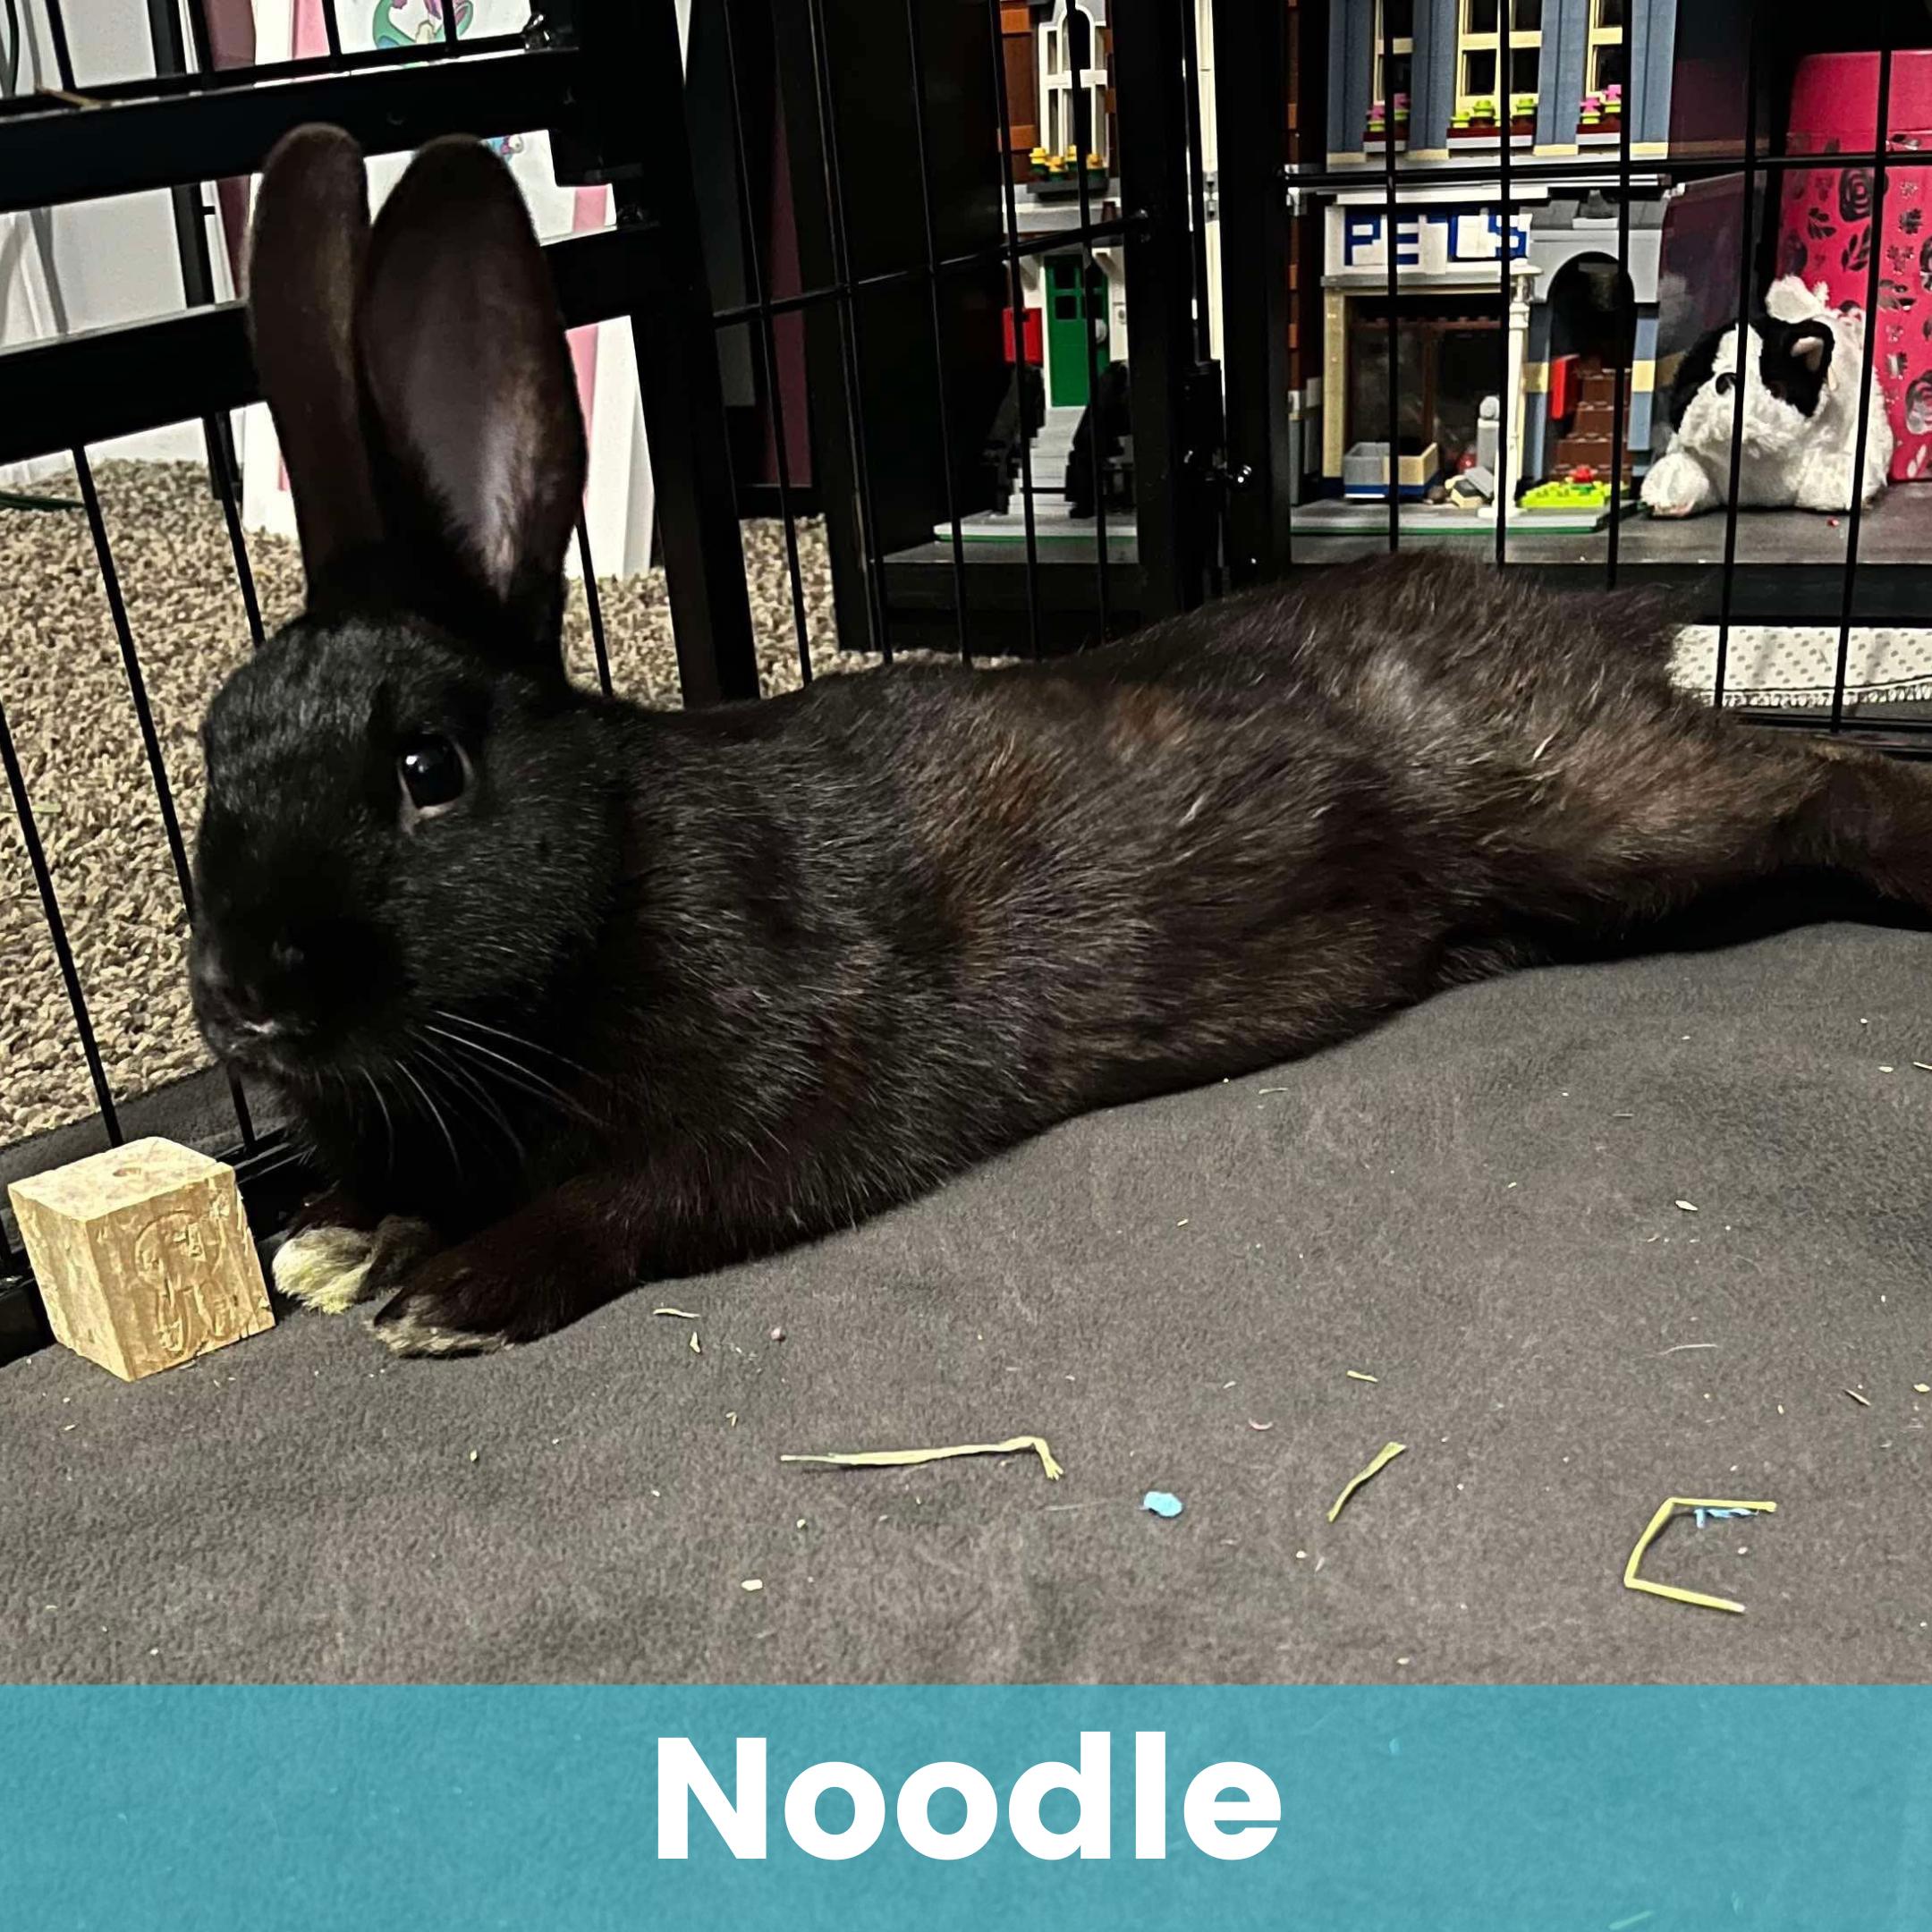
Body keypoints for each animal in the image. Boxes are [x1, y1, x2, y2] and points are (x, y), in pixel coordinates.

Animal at [190, 126, 1932, 1357]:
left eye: (426, 772)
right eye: (212, 744)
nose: (239, 1001)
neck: (601, 892)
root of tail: (1597, 624)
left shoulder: (797, 1073)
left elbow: (654, 1194)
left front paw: (450, 1291)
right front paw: (337, 1237)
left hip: (1607, 811)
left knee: (1821, 777)